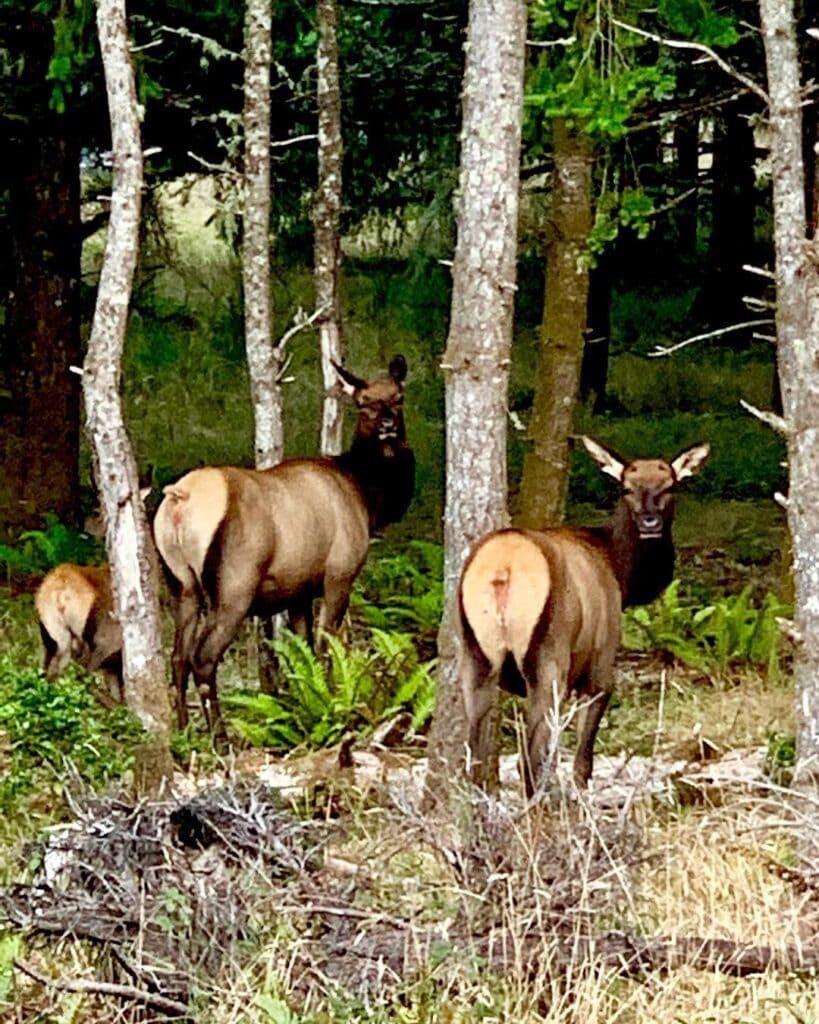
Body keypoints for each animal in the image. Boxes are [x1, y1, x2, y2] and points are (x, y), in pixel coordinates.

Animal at [153, 354, 415, 737]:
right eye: (363, 402)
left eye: (398, 397)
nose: (387, 423)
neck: (368, 498)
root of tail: (179, 498)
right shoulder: (339, 573)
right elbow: (326, 646)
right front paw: (335, 704)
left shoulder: (298, 590)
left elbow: (304, 651)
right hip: (235, 583)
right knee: (203, 657)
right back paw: (220, 738)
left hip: (180, 582)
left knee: (178, 657)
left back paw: (185, 733)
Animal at [460, 436, 708, 794]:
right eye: (626, 488)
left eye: (670, 486)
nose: (649, 521)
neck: (622, 575)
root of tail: (502, 569)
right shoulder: (600, 667)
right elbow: (582, 764)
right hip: (549, 657)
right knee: (531, 760)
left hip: (475, 653)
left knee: (473, 760)